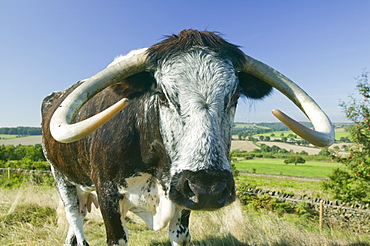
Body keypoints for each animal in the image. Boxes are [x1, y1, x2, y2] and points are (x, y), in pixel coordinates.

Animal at [41, 29, 336, 246]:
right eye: (161, 94)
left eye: (235, 96)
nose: (208, 188)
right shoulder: (108, 195)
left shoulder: (182, 200)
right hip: (61, 176)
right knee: (75, 217)